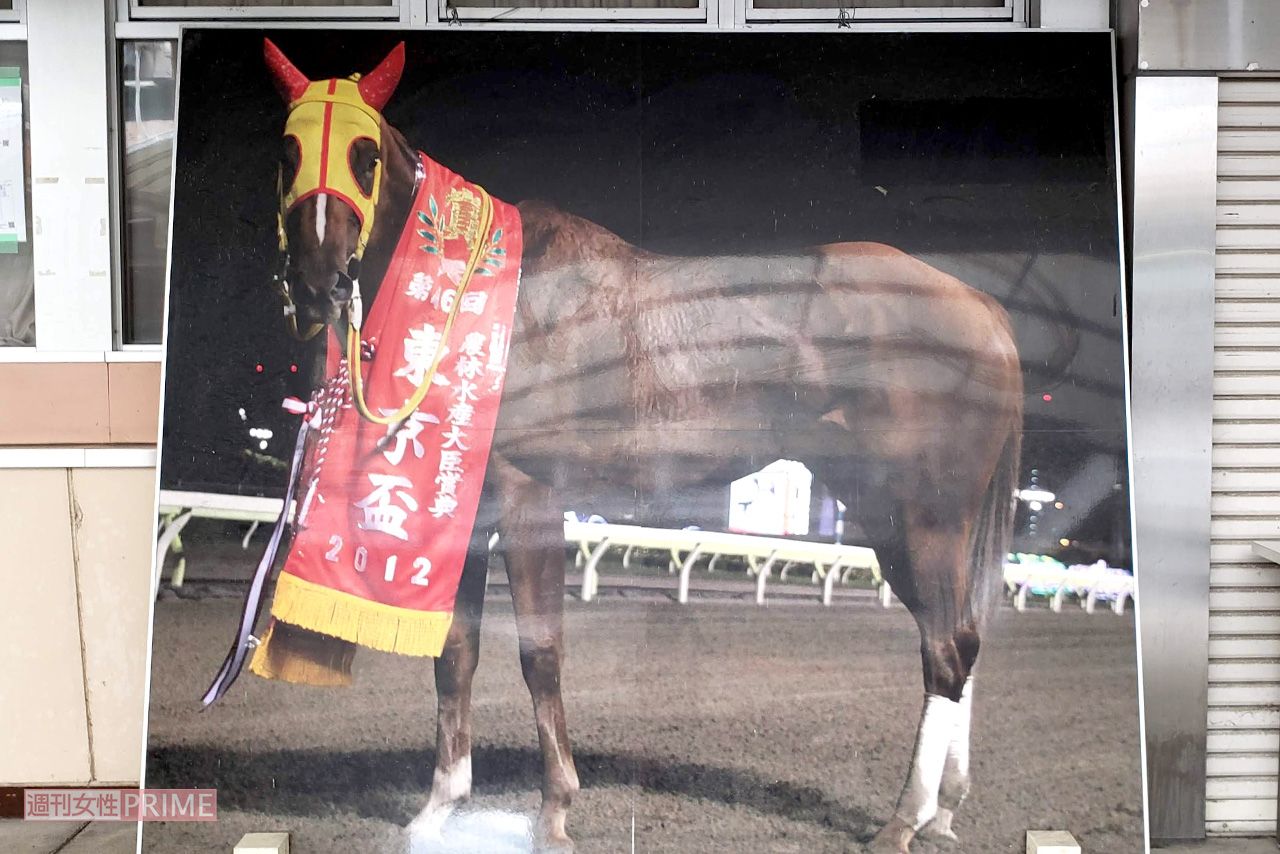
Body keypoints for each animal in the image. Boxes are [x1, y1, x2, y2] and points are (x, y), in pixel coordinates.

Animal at [263, 40, 1023, 854]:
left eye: (365, 155)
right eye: (288, 151)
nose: (317, 285)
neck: (495, 301)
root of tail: (983, 309)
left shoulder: (531, 496)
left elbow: (539, 652)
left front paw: (555, 811)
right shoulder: (467, 506)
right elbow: (456, 653)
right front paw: (437, 808)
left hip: (923, 516)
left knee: (946, 651)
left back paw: (904, 820)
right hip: (886, 515)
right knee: (961, 641)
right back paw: (942, 809)